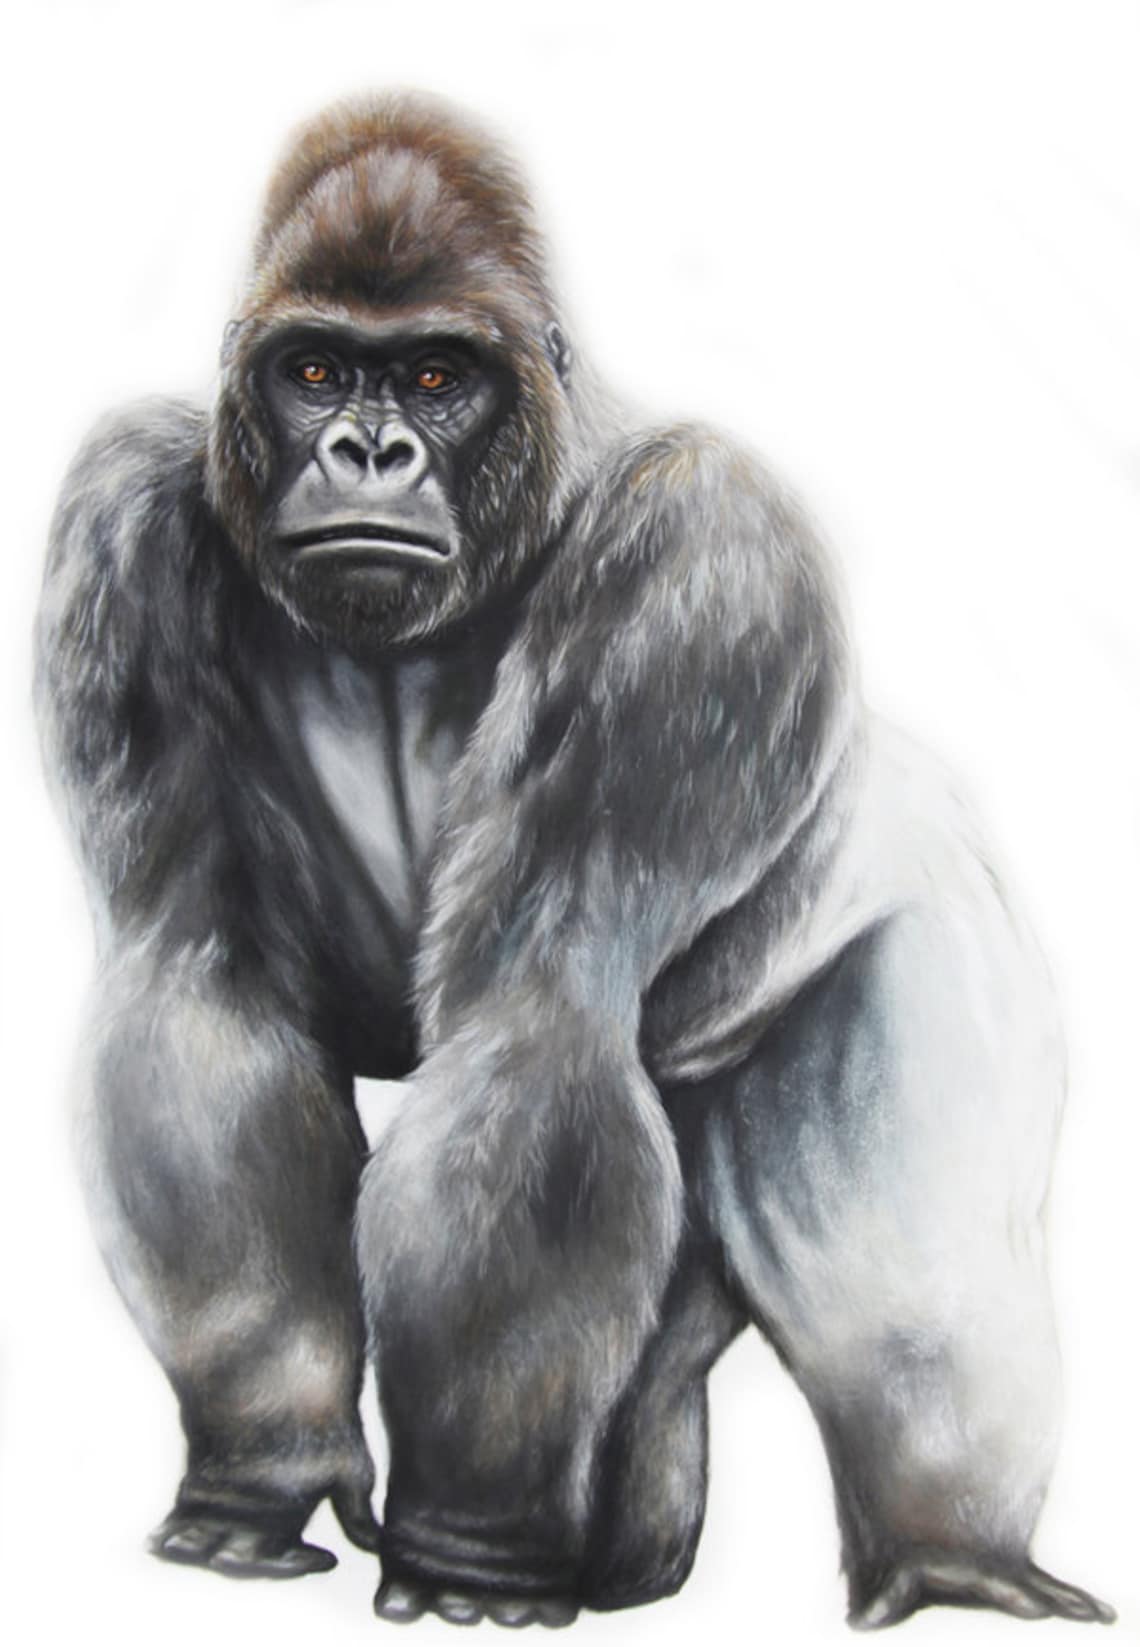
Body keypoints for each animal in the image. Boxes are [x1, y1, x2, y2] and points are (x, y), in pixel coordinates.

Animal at [35, 93, 1112, 1629]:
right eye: (316, 370)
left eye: (436, 376)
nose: (368, 453)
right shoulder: (119, 505)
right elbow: (196, 988)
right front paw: (259, 1462)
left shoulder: (709, 543)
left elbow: (534, 1021)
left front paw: (469, 1543)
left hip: (935, 908)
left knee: (922, 1299)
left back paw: (952, 1547)